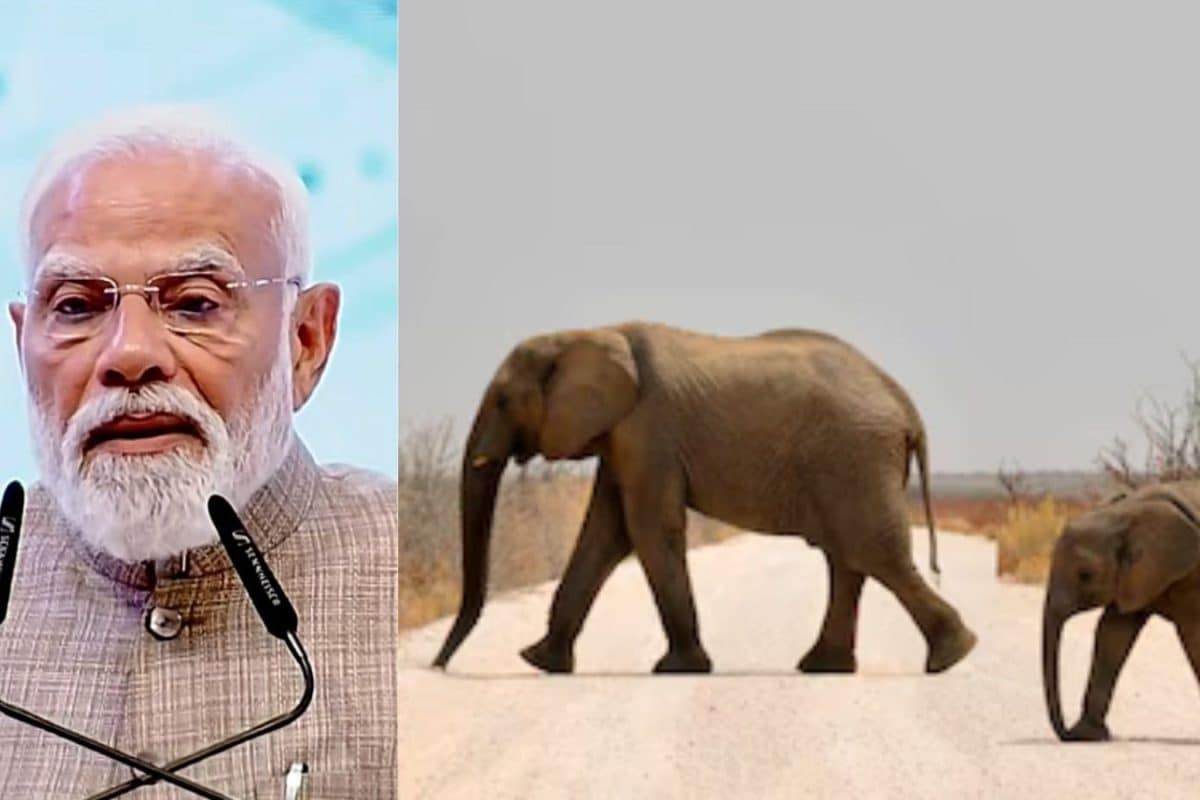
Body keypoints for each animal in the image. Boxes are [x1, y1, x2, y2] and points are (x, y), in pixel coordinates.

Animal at [432, 321, 978, 675]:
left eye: (504, 400)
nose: (438, 666)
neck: (587, 332)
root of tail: (905, 404)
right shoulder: (624, 437)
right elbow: (605, 533)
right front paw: (540, 661)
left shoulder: (649, 429)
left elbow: (647, 529)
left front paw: (678, 668)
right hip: (851, 460)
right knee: (848, 558)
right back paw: (826, 666)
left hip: (855, 455)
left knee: (870, 552)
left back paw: (951, 656)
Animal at [1042, 482, 1200, 741]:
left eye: (1085, 575)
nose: (1065, 734)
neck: (1125, 512)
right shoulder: (1137, 576)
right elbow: (1112, 633)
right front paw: (1087, 735)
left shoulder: (1192, 575)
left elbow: (1193, 634)